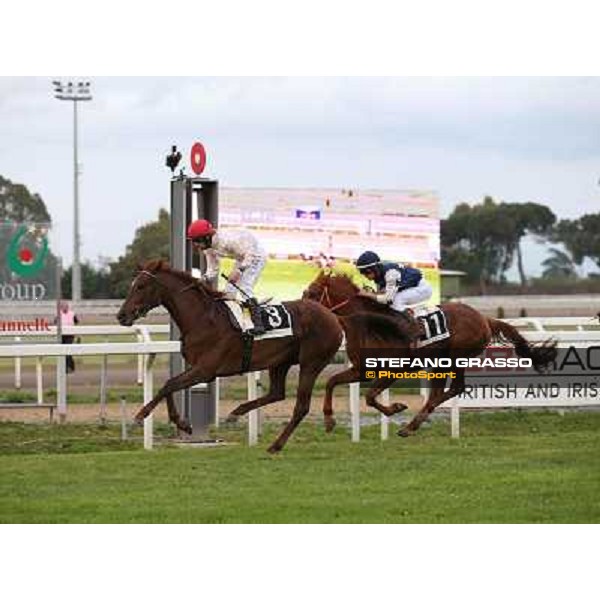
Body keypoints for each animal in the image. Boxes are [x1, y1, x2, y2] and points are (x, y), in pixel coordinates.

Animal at [116, 260, 342, 452]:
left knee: (301, 406)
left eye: (141, 286)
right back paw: (237, 413)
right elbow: (169, 385)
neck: (202, 318)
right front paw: (182, 423)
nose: (121, 315)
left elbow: (169, 385)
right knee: (277, 393)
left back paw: (276, 445)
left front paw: (142, 415)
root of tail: (331, 315)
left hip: (310, 363)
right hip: (280, 362)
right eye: (133, 285)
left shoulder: (205, 370)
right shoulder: (197, 368)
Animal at [304, 272, 556, 436]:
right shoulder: (362, 369)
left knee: (451, 389)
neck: (370, 324)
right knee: (444, 391)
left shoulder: (392, 370)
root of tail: (484, 318)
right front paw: (329, 420)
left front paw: (396, 408)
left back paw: (411, 425)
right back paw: (413, 424)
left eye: (313, 292)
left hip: (453, 359)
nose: (303, 311)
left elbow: (370, 396)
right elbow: (332, 382)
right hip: (441, 363)